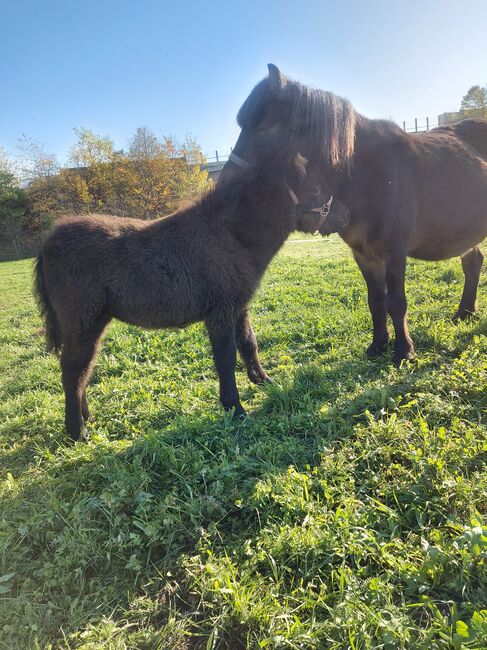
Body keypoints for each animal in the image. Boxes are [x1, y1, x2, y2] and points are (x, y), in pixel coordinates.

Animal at [34, 151, 332, 438]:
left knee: (84, 367)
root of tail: (48, 242)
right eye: (316, 187)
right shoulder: (220, 312)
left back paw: (86, 418)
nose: (333, 220)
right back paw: (77, 431)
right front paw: (235, 409)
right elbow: (225, 359)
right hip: (82, 321)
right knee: (73, 369)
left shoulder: (239, 307)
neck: (230, 236)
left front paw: (264, 381)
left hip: (94, 323)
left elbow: (249, 343)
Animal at [224, 66, 487, 364]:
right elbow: (376, 301)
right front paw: (379, 344)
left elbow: (396, 302)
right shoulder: (363, 254)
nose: (226, 179)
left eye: (265, 126)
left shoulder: (394, 251)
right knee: (473, 262)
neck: (366, 177)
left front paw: (403, 350)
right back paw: (464, 312)